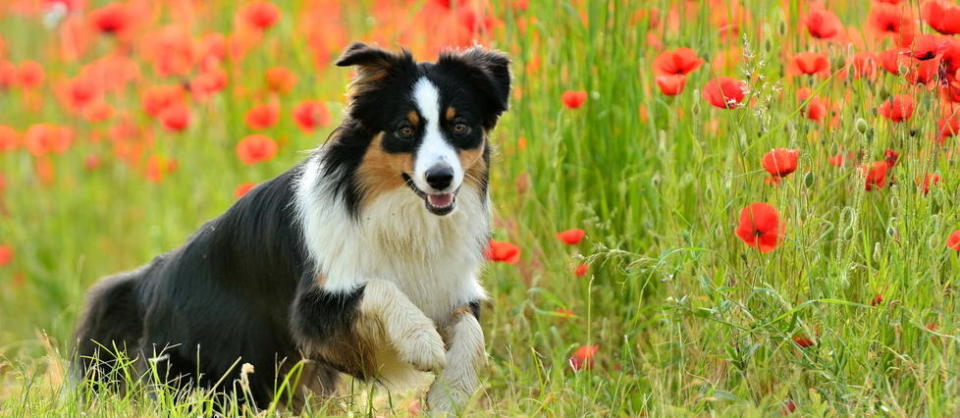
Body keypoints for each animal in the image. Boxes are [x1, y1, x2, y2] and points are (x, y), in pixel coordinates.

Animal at [73, 43, 510, 412]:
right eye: (405, 129)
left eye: (460, 126)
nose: (440, 178)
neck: (401, 213)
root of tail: (150, 278)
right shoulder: (312, 310)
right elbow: (378, 287)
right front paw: (423, 343)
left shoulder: (447, 286)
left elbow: (472, 330)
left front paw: (451, 394)